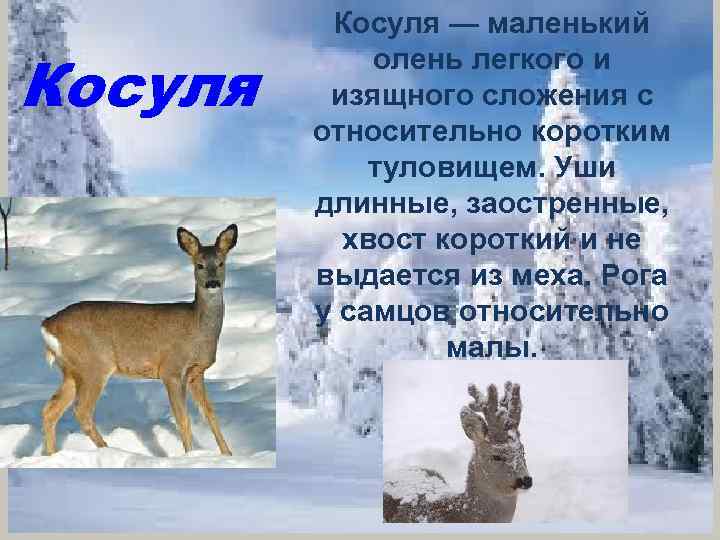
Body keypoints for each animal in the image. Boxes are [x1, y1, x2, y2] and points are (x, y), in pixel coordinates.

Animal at [39, 224, 238, 457]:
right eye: (199, 265)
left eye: (221, 263)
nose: (212, 283)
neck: (198, 328)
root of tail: (48, 324)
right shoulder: (171, 369)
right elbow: (183, 419)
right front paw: (190, 456)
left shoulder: (196, 373)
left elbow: (210, 413)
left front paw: (228, 455)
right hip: (94, 365)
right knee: (81, 411)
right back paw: (111, 450)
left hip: (72, 370)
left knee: (50, 409)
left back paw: (52, 455)